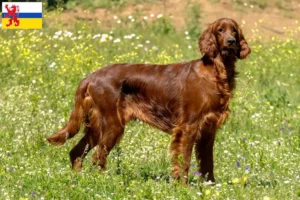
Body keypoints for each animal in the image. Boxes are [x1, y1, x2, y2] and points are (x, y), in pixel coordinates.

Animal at [47, 18, 250, 184]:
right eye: (220, 30)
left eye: (234, 31)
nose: (231, 42)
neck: (216, 72)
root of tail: (90, 77)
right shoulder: (188, 127)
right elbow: (184, 160)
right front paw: (184, 187)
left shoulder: (208, 129)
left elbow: (208, 163)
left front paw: (210, 187)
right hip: (112, 124)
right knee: (98, 157)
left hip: (96, 126)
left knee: (76, 152)